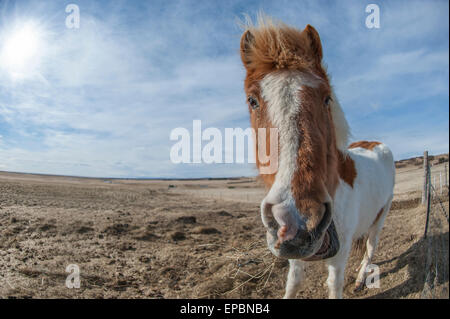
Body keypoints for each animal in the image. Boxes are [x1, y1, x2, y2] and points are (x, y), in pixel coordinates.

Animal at [239, 16, 394, 298]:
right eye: (252, 100)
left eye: (327, 98)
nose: (297, 221)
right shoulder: (294, 254)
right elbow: (293, 282)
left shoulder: (339, 257)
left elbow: (334, 285)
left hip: (381, 216)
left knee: (370, 247)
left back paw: (360, 278)